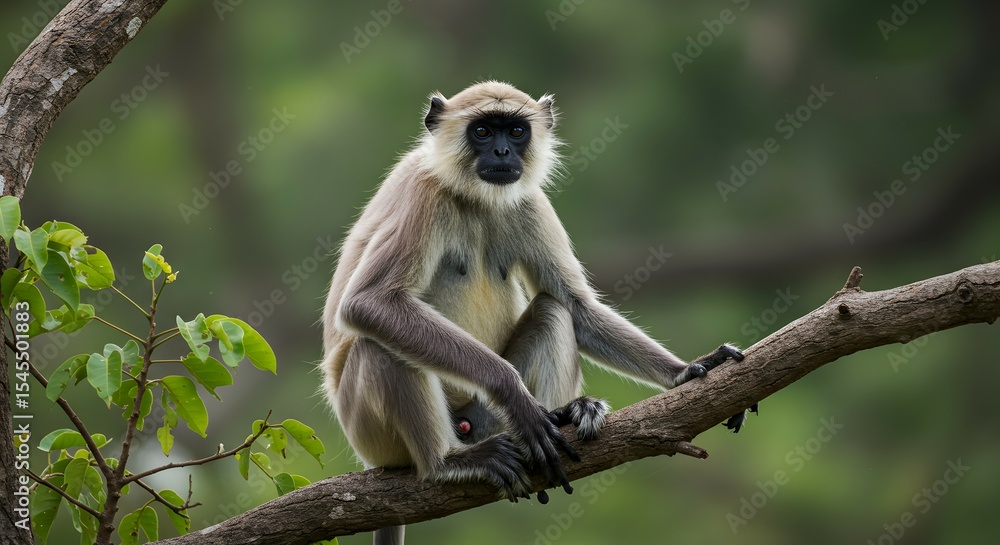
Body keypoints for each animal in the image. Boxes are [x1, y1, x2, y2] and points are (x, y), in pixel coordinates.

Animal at [320, 81, 750, 545]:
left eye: (516, 131)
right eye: (483, 131)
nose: (503, 152)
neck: (474, 197)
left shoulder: (528, 201)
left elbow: (577, 308)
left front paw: (688, 370)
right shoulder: (424, 191)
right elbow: (370, 303)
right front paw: (512, 391)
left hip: (482, 418)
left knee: (551, 310)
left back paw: (563, 415)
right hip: (372, 433)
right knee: (378, 343)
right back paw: (446, 462)